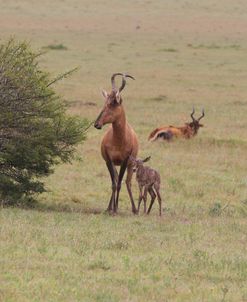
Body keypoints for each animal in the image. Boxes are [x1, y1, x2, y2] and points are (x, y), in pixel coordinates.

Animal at [93, 73, 138, 215]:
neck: (118, 140)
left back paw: (135, 209)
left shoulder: (124, 161)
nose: (97, 124)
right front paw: (111, 209)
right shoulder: (109, 161)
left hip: (130, 164)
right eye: (105, 102)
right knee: (117, 178)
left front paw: (116, 208)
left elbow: (119, 184)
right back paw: (109, 207)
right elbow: (113, 184)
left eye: (114, 103)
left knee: (127, 182)